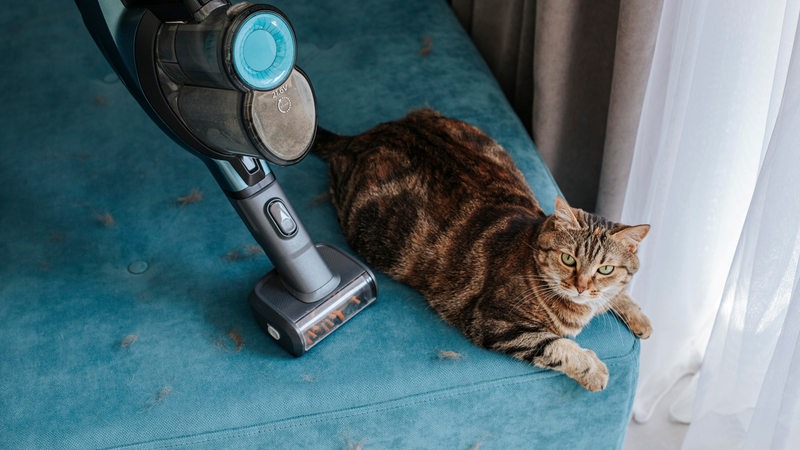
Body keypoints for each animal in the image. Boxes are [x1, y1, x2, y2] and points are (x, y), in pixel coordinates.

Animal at [312, 108, 648, 390]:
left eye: (605, 268)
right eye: (568, 259)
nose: (580, 286)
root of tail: (362, 136)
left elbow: (618, 293)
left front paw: (638, 317)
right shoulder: (494, 323)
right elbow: (556, 346)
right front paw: (594, 369)